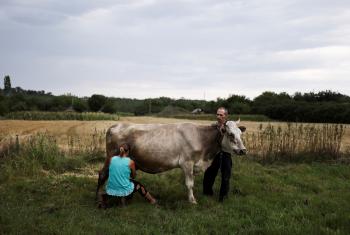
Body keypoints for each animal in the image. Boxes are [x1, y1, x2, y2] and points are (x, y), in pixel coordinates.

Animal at [96, 119, 246, 204]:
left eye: (240, 133)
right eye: (230, 134)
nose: (243, 150)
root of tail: (115, 125)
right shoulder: (187, 162)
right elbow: (190, 184)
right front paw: (192, 201)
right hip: (110, 156)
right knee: (102, 174)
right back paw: (98, 197)